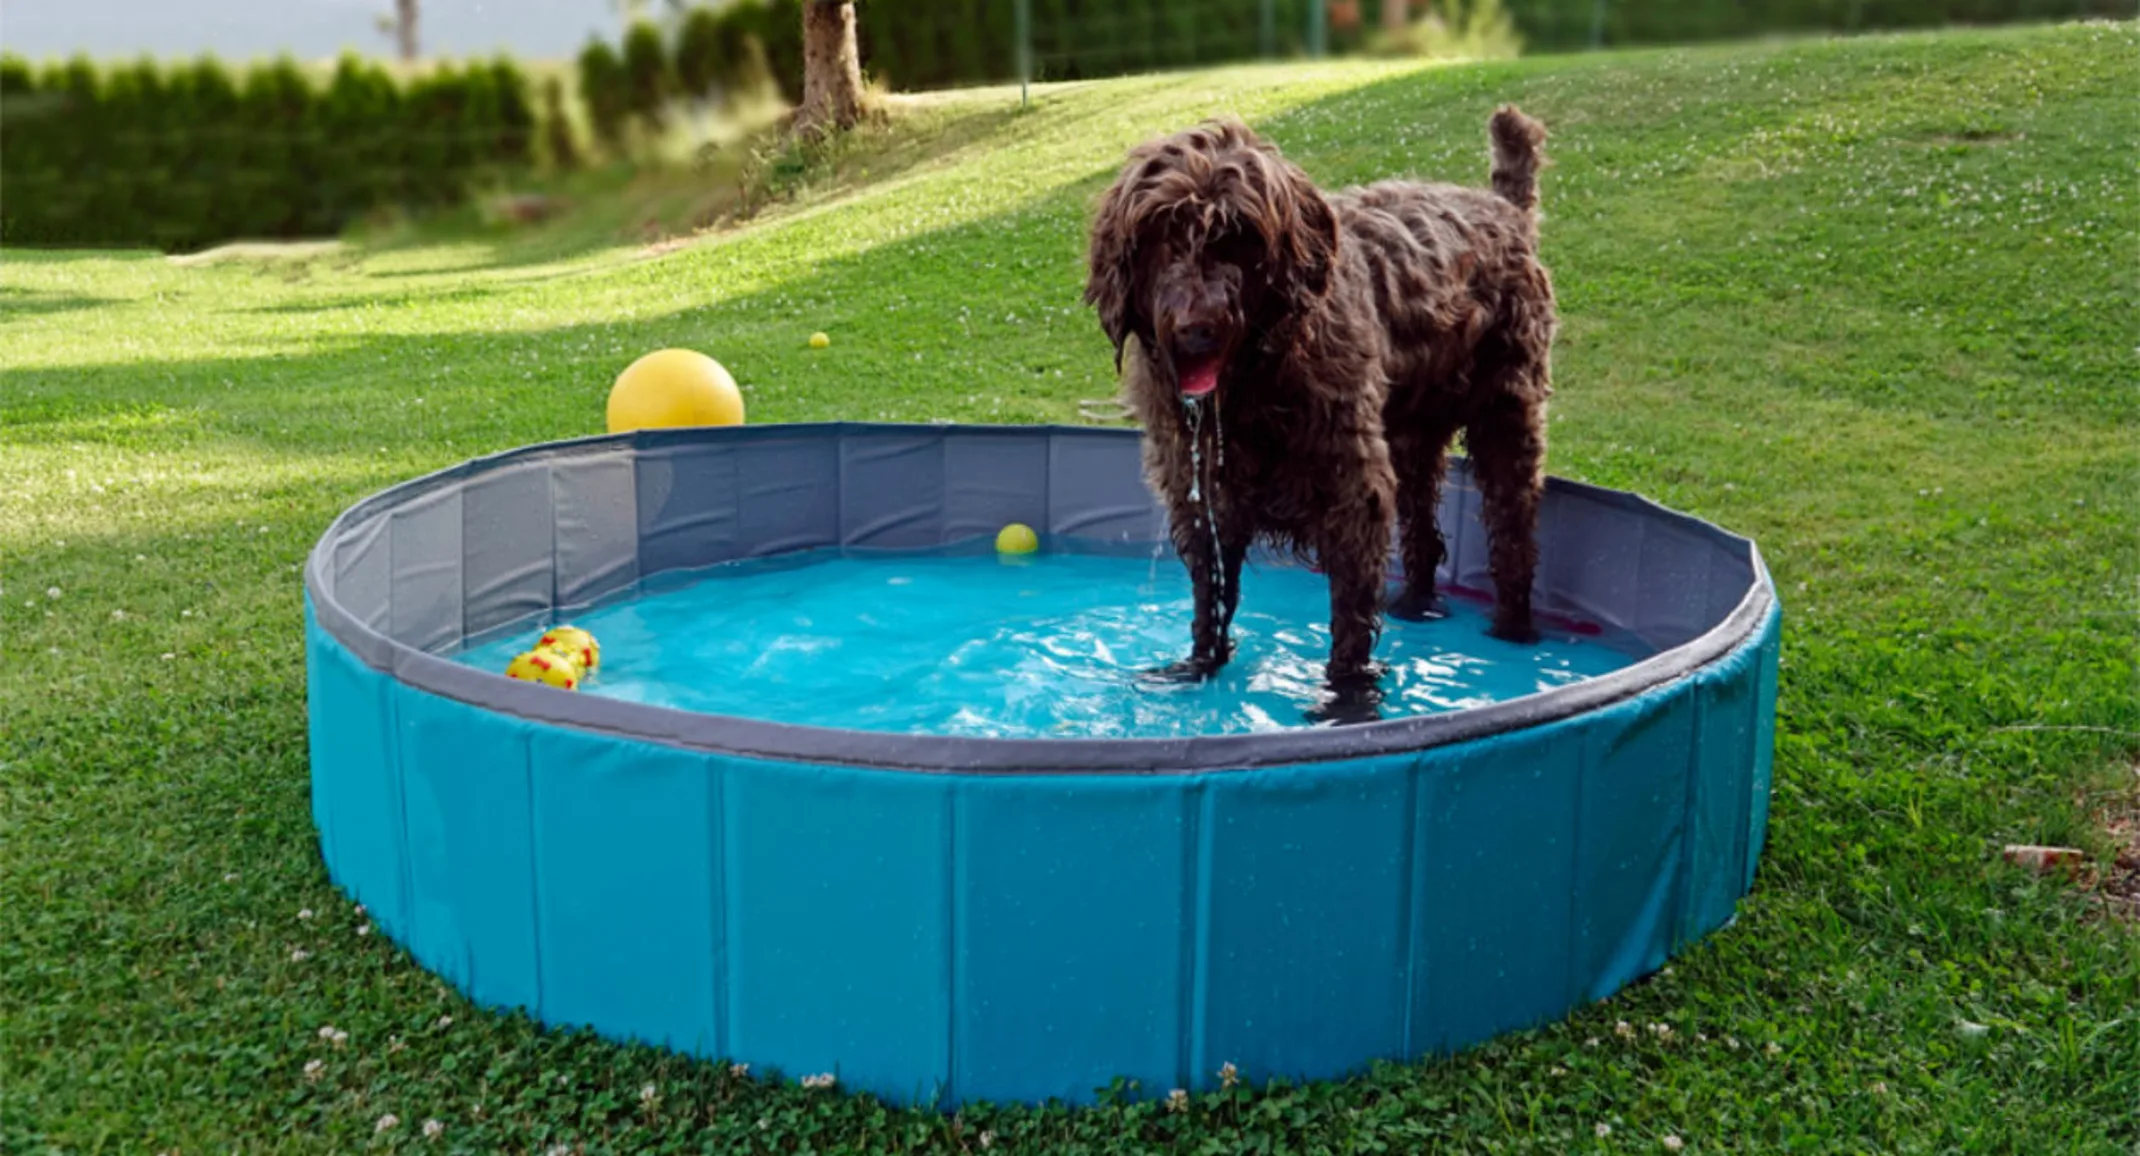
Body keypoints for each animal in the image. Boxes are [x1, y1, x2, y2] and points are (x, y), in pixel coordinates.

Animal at [1087, 110, 1557, 723]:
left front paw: (1348, 700)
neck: (1254, 382)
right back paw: (1417, 603)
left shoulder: (1352, 494)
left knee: (1513, 527)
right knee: (1423, 523)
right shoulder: (1204, 494)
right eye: (1162, 235)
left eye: (1239, 237)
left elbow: (1350, 618)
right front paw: (1199, 667)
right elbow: (1210, 593)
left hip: (1506, 413)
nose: (1196, 331)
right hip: (1414, 431)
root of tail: (1503, 208)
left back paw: (1514, 629)